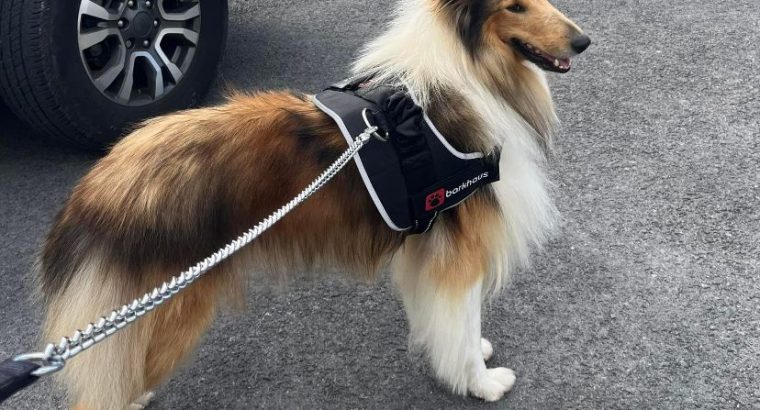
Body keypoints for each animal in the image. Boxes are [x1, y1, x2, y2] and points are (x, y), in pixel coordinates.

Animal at [38, 0, 592, 406]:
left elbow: (445, 321)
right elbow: (464, 315)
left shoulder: (424, 245)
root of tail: (104, 181)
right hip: (171, 308)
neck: (470, 72)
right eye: (514, 6)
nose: (583, 41)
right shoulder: (461, 250)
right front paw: (481, 382)